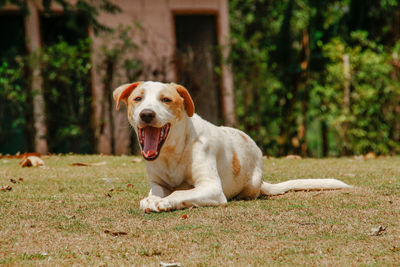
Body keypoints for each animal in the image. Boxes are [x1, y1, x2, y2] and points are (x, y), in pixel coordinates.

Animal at [112, 81, 350, 214]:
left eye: (166, 99)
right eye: (138, 98)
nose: (147, 114)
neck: (173, 153)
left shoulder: (212, 188)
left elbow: (181, 191)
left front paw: (167, 202)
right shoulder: (158, 183)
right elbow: (156, 193)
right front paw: (152, 200)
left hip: (251, 183)